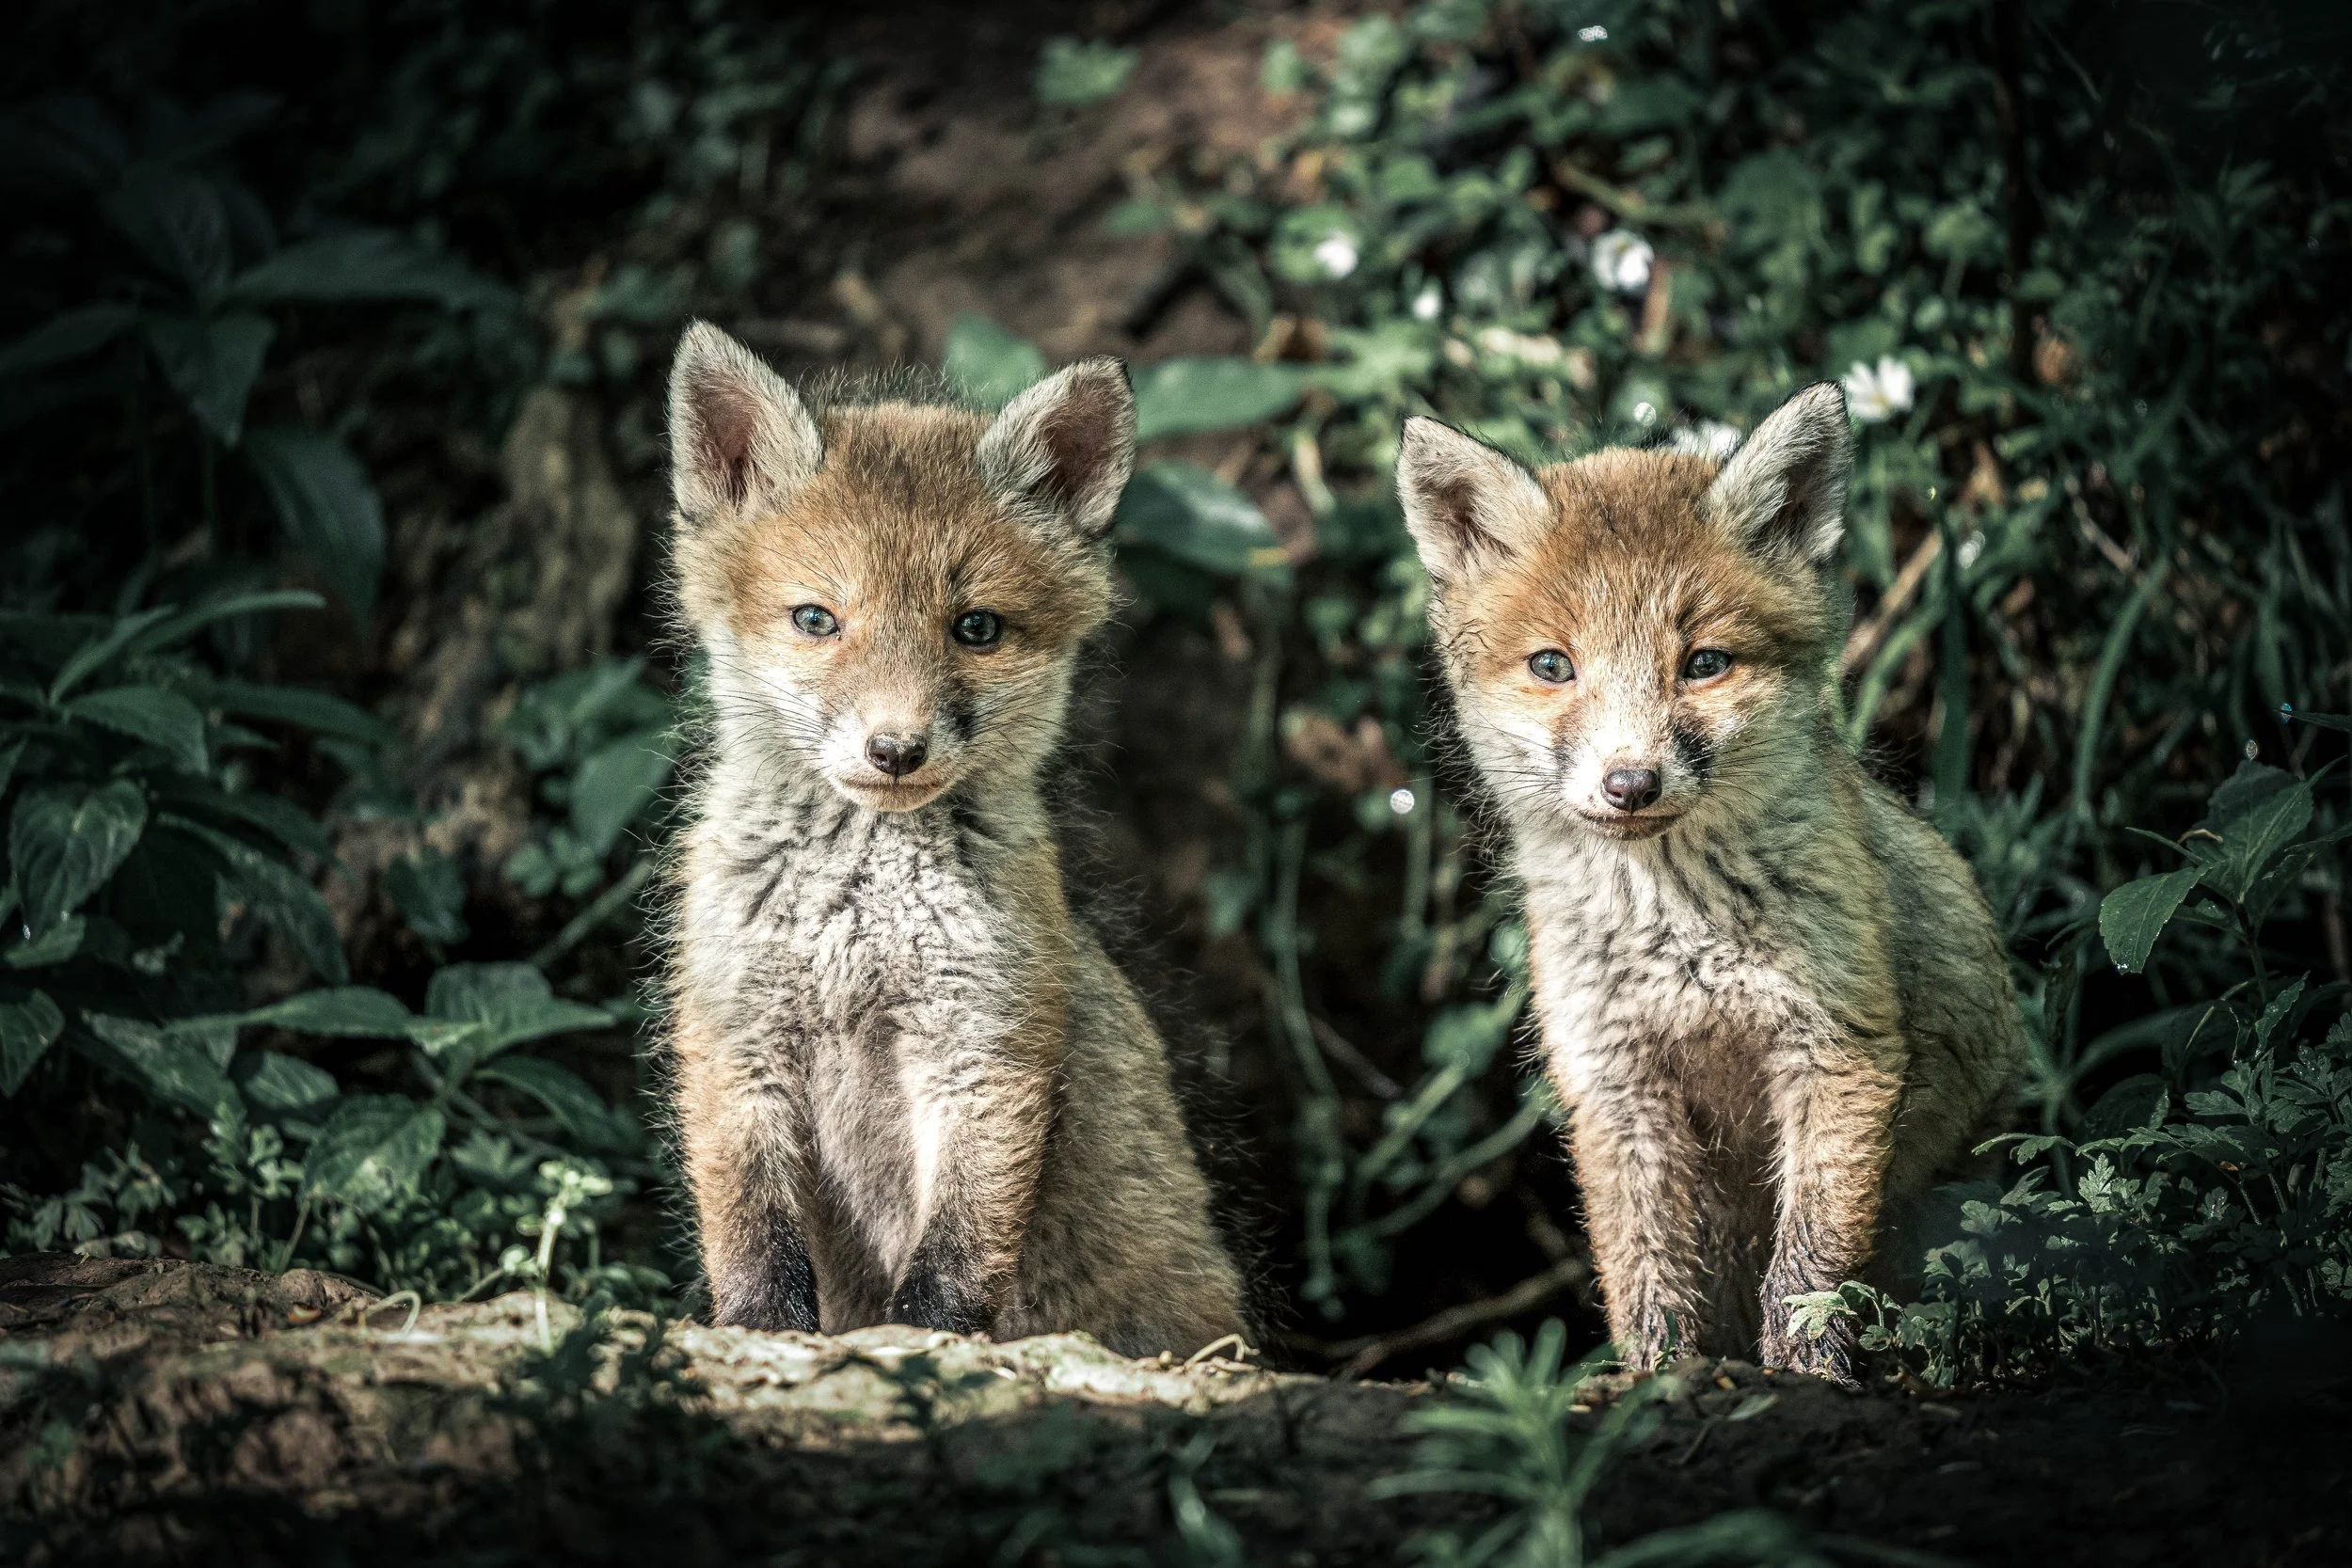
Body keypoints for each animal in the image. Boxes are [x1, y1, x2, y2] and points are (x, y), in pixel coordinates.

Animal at [659, 321, 1247, 1358]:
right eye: (816, 618)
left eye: (975, 627)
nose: (894, 749)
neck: (859, 922)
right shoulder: (737, 1032)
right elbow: (753, 1232)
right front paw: (759, 1334)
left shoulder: (984, 1043)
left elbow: (959, 1248)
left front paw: (924, 1342)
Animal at [1396, 383, 2024, 1383]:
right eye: (1552, 665)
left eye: (1704, 664)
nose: (1630, 783)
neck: (1677, 943)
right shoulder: (1613, 1079)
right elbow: (1645, 1267)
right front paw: (1657, 1381)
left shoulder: (1838, 1050)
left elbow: (1810, 1260)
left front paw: (1807, 1372)